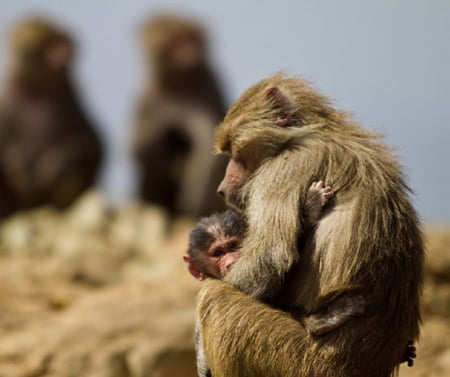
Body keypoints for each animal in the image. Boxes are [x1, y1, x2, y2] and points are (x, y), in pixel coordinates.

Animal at [0, 17, 103, 217]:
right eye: (50, 45)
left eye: (61, 41)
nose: (66, 52)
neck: (38, 90)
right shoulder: (8, 107)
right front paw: (21, 163)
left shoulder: (71, 104)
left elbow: (92, 146)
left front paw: (60, 163)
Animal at [132, 13, 227, 217]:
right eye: (178, 41)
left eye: (193, 40)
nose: (192, 55)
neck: (177, 83)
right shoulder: (148, 96)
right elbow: (142, 143)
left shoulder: (207, 86)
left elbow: (207, 143)